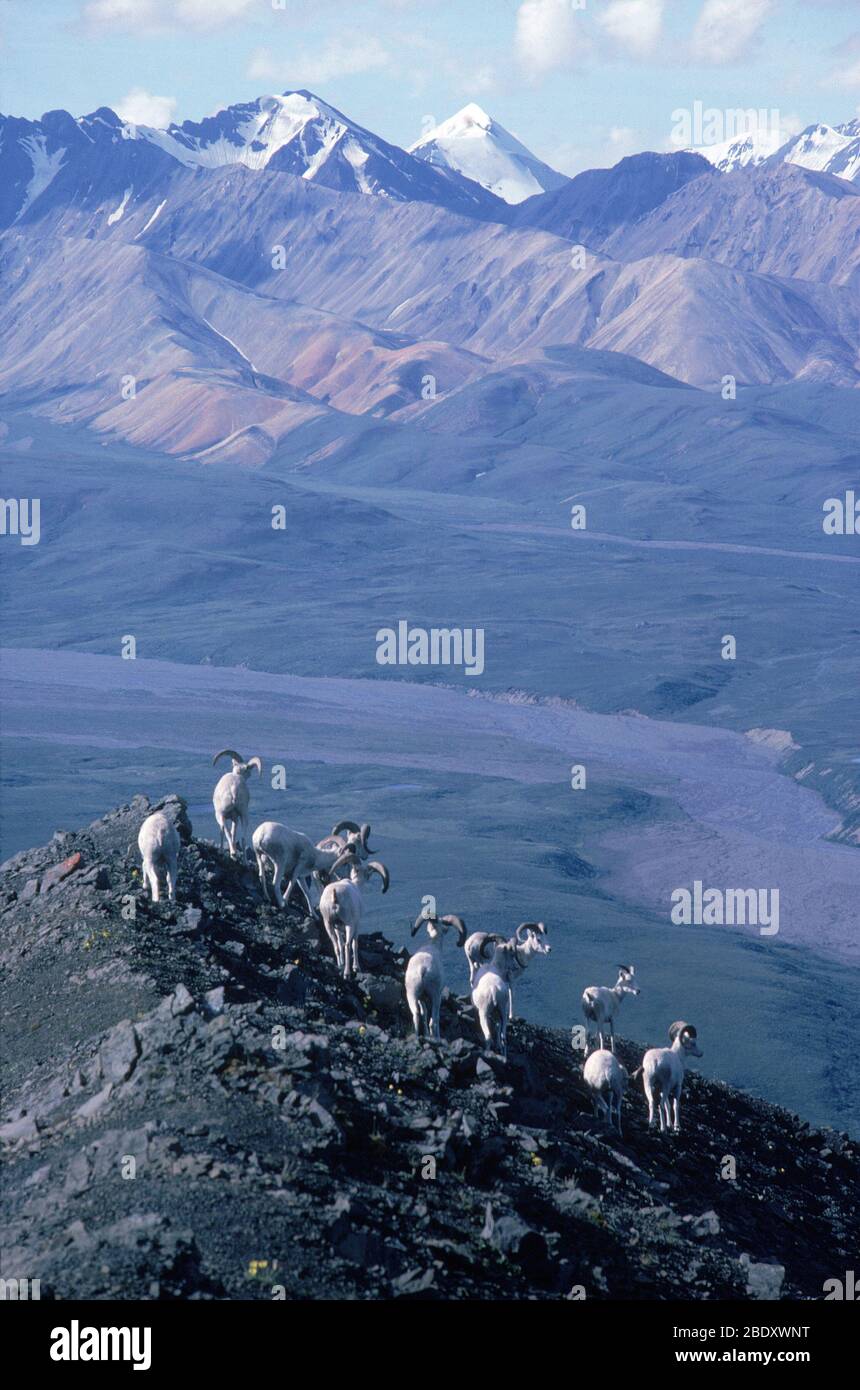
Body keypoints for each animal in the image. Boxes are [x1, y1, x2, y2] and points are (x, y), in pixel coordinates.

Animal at [316, 839, 389, 984]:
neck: (356, 885)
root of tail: (334, 896)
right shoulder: (357, 924)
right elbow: (355, 944)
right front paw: (357, 967)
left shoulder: (338, 927)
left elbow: (339, 941)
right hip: (349, 925)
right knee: (347, 945)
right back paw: (347, 973)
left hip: (328, 924)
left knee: (336, 944)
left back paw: (340, 965)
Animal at [408, 906, 466, 1039]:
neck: (433, 944)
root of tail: (422, 969)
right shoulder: (436, 995)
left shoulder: (422, 998)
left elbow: (424, 1014)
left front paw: (426, 1035)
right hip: (435, 996)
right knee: (433, 1021)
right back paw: (437, 1039)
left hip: (412, 994)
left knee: (416, 1015)